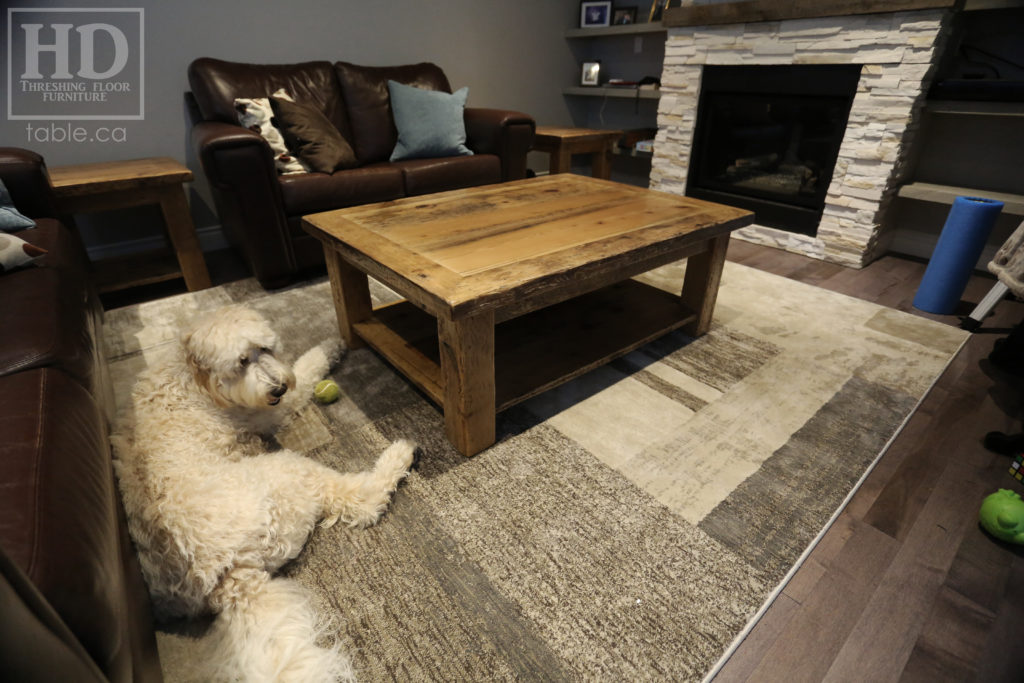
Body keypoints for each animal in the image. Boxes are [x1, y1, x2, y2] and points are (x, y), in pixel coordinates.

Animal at [110, 307, 417, 679]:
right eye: (241, 361)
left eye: (265, 349)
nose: (279, 387)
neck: (194, 380)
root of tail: (226, 579)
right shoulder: (272, 411)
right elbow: (307, 366)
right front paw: (330, 346)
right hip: (289, 472)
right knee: (363, 500)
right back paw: (400, 455)